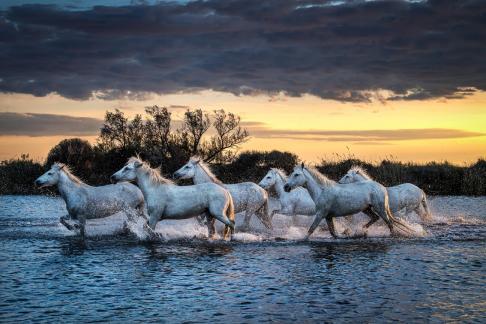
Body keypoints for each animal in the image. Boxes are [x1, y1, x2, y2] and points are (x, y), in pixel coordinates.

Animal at [284, 163, 414, 239]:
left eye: (296, 174)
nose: (286, 187)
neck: (322, 191)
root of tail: (382, 188)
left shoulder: (321, 214)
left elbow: (310, 230)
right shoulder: (328, 216)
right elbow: (333, 233)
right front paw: (345, 233)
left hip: (380, 209)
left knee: (389, 223)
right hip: (366, 209)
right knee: (375, 218)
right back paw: (361, 231)